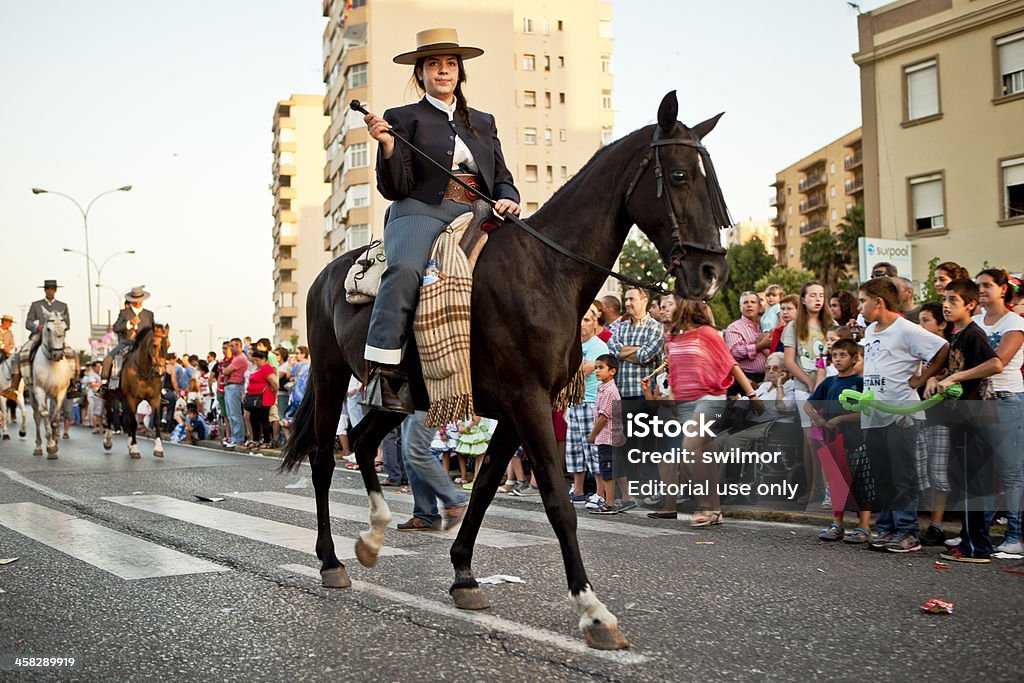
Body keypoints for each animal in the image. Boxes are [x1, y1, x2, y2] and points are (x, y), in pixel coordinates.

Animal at [27, 315, 74, 458]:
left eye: (65, 328)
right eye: (48, 329)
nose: (57, 355)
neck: (52, 365)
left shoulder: (60, 393)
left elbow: (55, 417)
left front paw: (54, 444)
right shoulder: (39, 391)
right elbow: (45, 414)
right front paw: (51, 446)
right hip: (32, 394)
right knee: (37, 417)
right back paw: (38, 447)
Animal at [102, 325, 167, 458]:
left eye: (168, 344)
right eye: (154, 345)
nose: (160, 371)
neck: (144, 372)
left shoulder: (155, 398)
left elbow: (156, 421)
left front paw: (158, 448)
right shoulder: (132, 399)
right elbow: (134, 423)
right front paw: (135, 448)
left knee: (126, 419)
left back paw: (129, 443)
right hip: (110, 396)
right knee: (110, 416)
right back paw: (108, 441)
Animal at [280, 92, 729, 651]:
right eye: (681, 176)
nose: (711, 272)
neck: (546, 269)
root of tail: (325, 275)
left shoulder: (517, 411)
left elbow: (487, 484)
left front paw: (464, 576)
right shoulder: (527, 400)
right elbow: (558, 501)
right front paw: (593, 612)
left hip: (401, 396)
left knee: (361, 443)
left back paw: (373, 534)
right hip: (329, 376)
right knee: (323, 458)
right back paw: (330, 560)